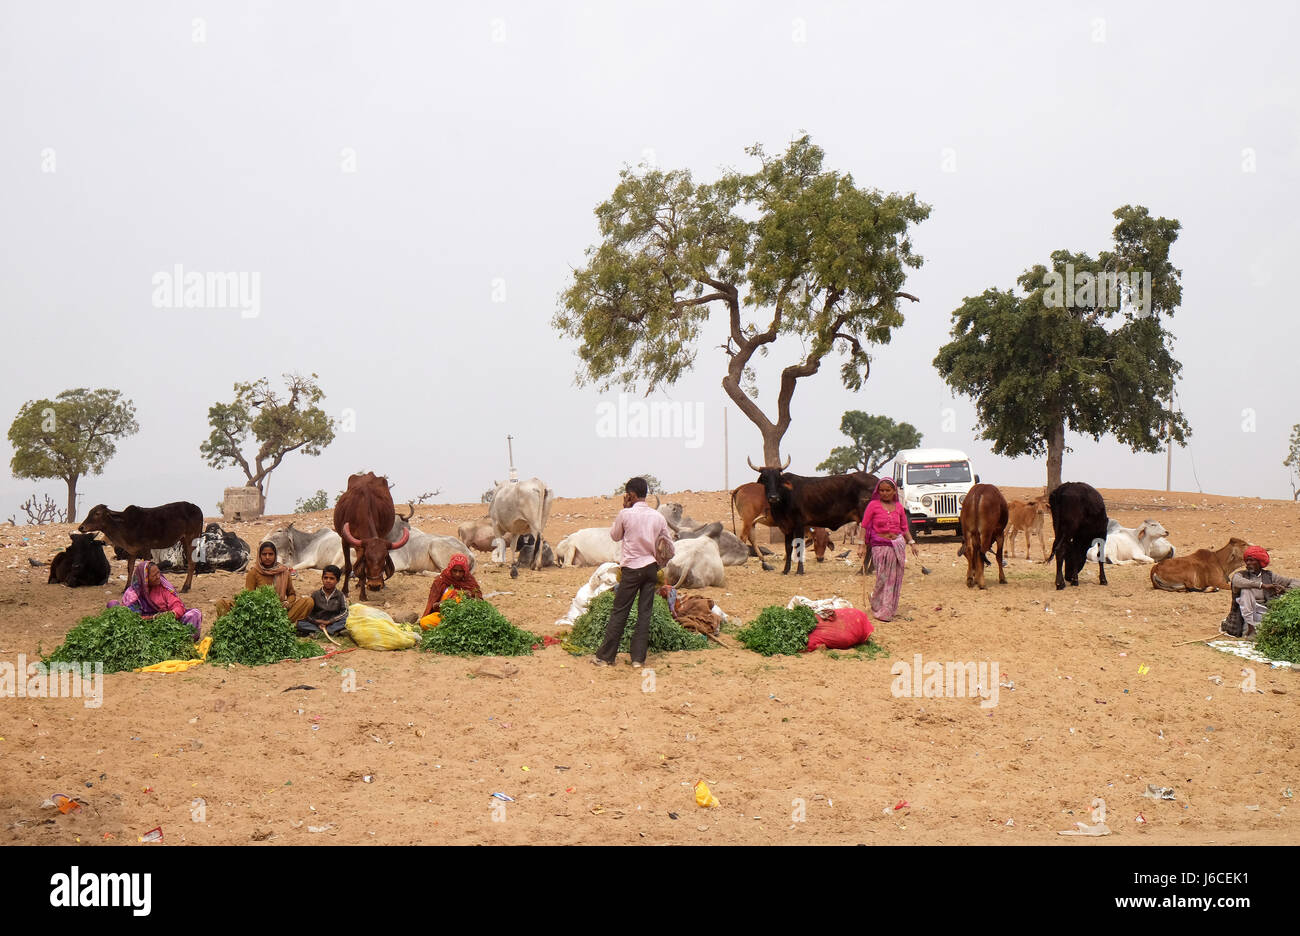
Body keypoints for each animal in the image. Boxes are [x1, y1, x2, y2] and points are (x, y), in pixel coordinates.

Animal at [748, 457, 878, 574]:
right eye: (765, 478)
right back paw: (870, 569)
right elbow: (788, 548)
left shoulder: (799, 525)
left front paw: (800, 570)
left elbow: (799, 547)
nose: (773, 497)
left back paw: (863, 570)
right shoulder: (787, 527)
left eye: (778, 478)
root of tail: (877, 481)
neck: (785, 497)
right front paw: (786, 570)